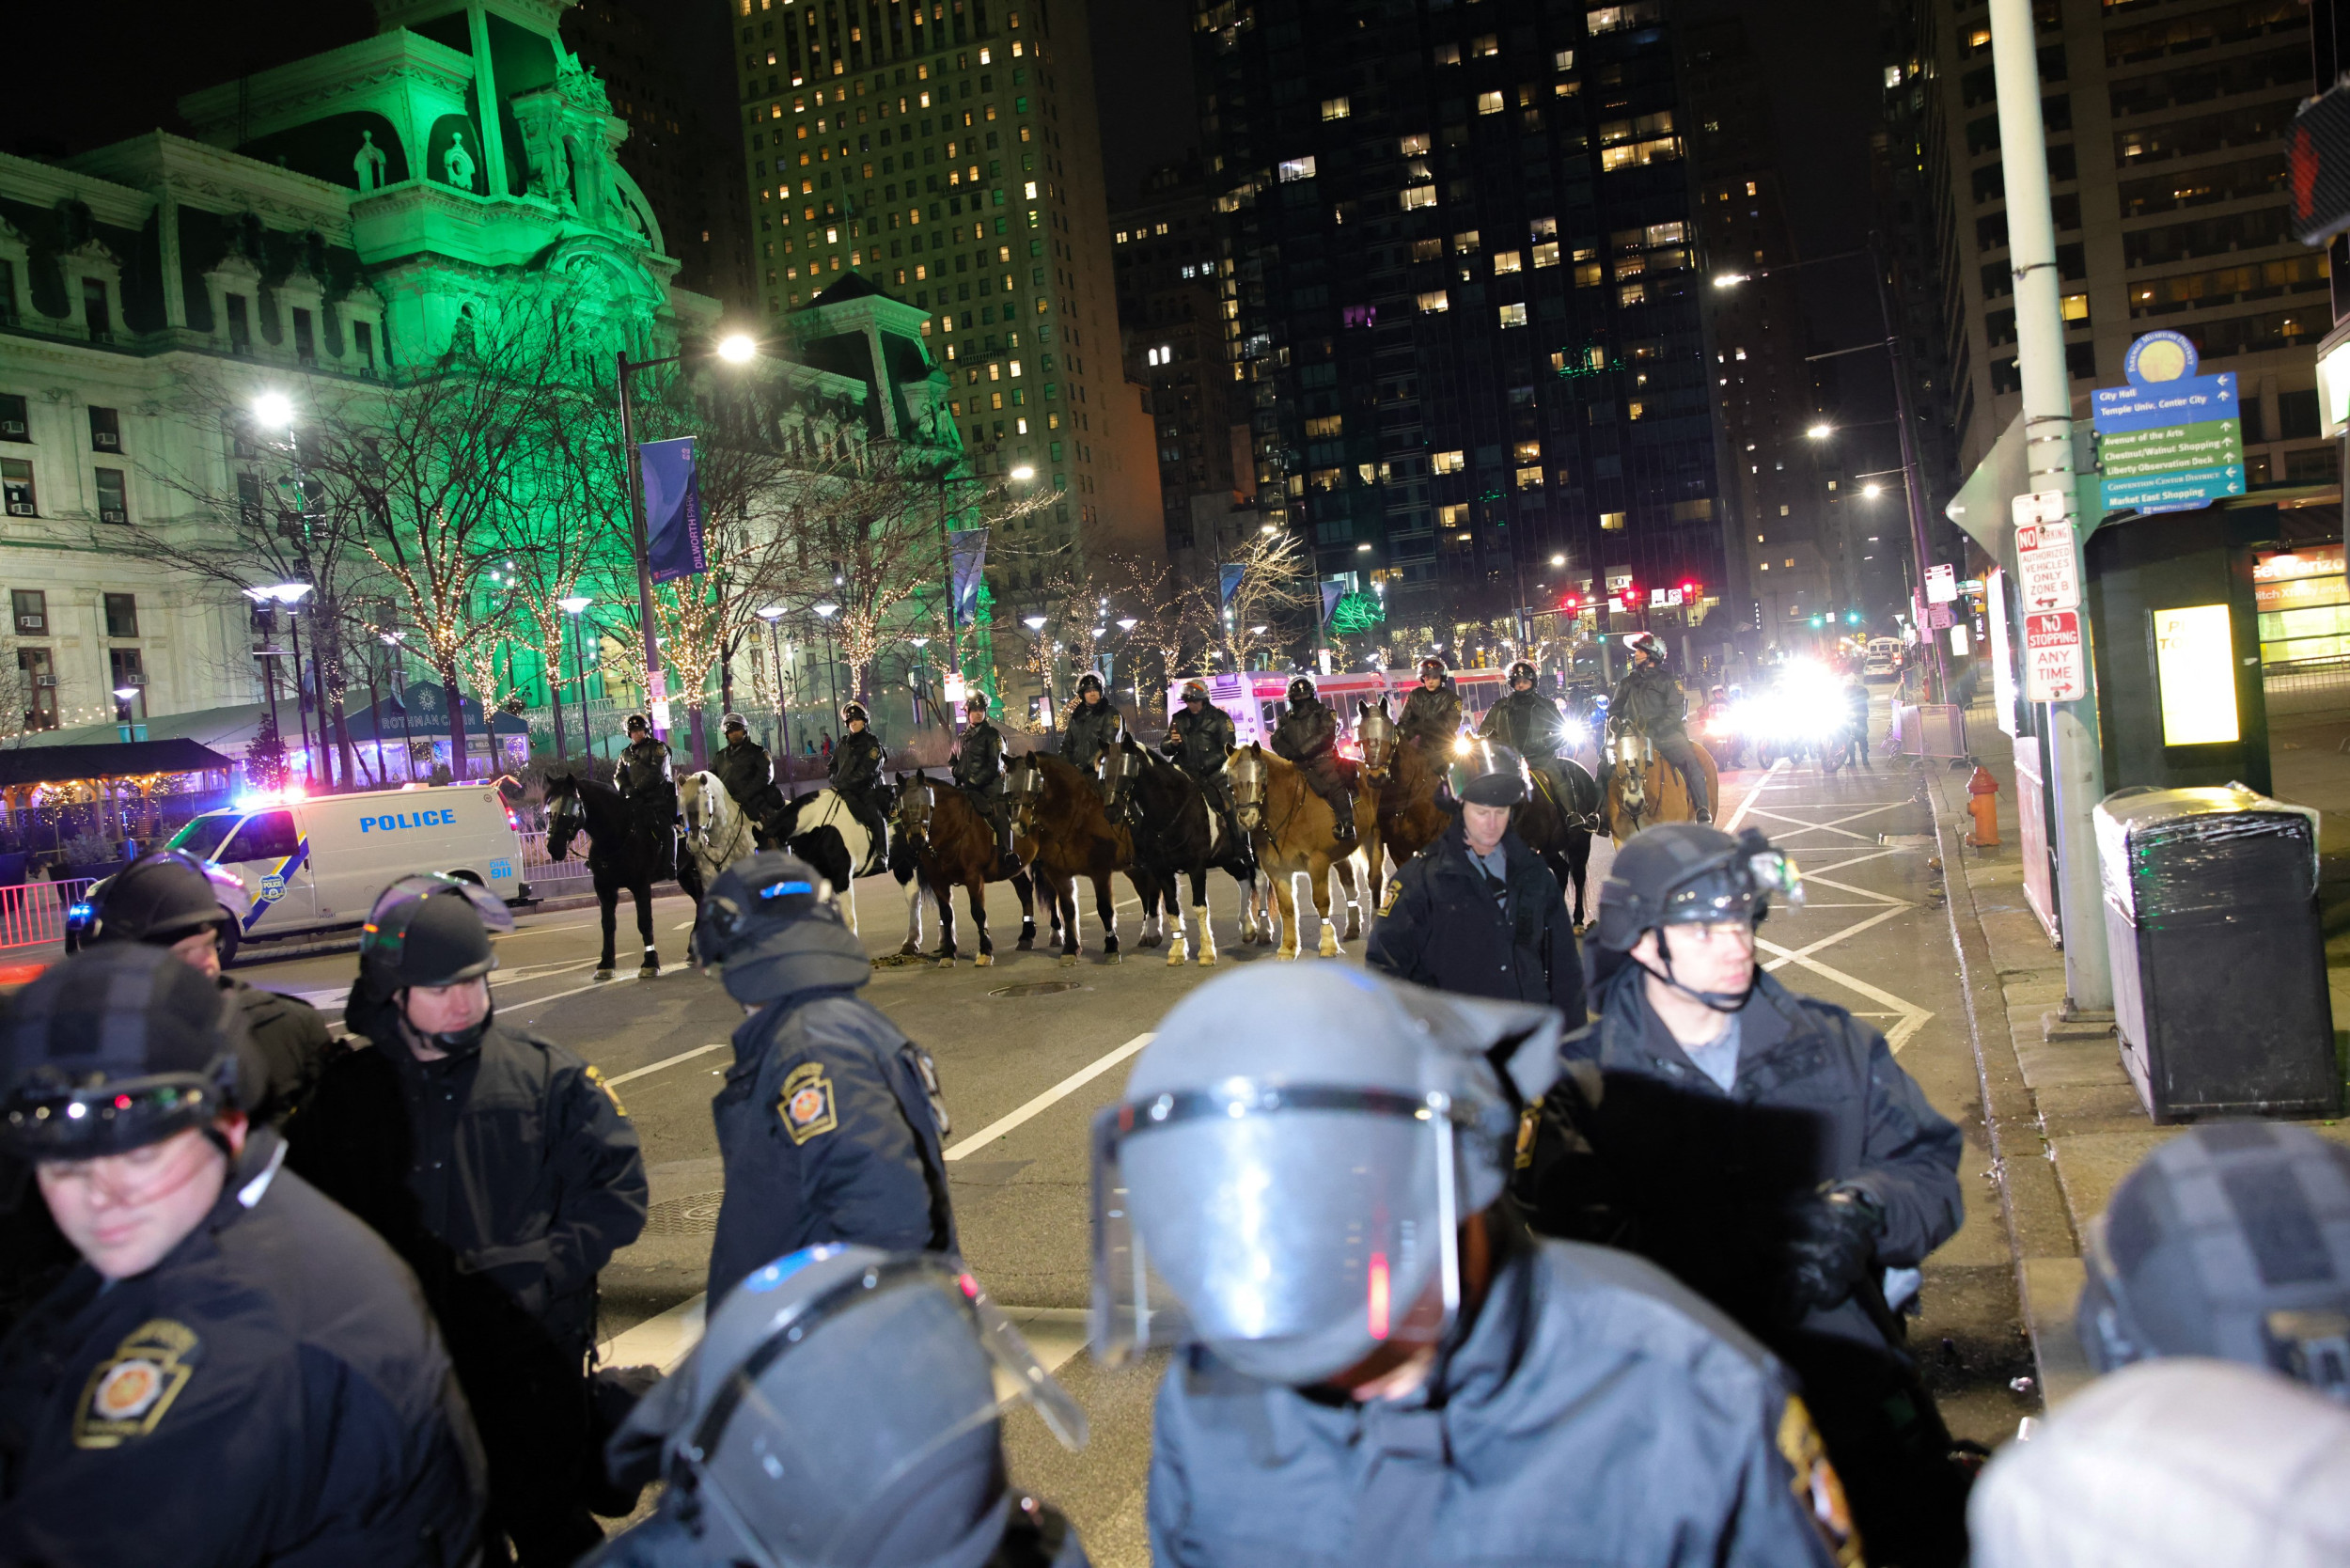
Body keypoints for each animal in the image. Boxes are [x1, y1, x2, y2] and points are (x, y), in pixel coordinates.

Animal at [540, 771, 663, 982]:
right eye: (548, 811)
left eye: (568, 810)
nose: (553, 848)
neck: (617, 836)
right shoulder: (604, 887)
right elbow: (608, 925)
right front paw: (605, 964)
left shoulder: (641, 885)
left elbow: (644, 922)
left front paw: (650, 963)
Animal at [888, 776, 1039, 968]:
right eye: (901, 809)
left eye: (925, 805)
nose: (916, 840)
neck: (954, 827)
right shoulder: (937, 880)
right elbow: (946, 914)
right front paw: (948, 953)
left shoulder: (973, 877)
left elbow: (978, 912)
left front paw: (985, 951)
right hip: (1012, 870)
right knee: (1025, 890)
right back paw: (1026, 936)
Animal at [1006, 752, 1133, 964]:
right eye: (1007, 791)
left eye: (1032, 788)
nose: (1017, 826)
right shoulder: (1059, 874)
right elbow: (1067, 908)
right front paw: (1071, 949)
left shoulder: (1100, 872)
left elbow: (1105, 908)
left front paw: (1111, 947)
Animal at [1231, 747, 1372, 964]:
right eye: (1230, 782)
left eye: (1261, 778)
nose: (1247, 818)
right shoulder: (1277, 870)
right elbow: (1287, 908)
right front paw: (1288, 948)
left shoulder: (1317, 863)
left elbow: (1321, 902)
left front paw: (1328, 944)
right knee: (1350, 884)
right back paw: (1353, 928)